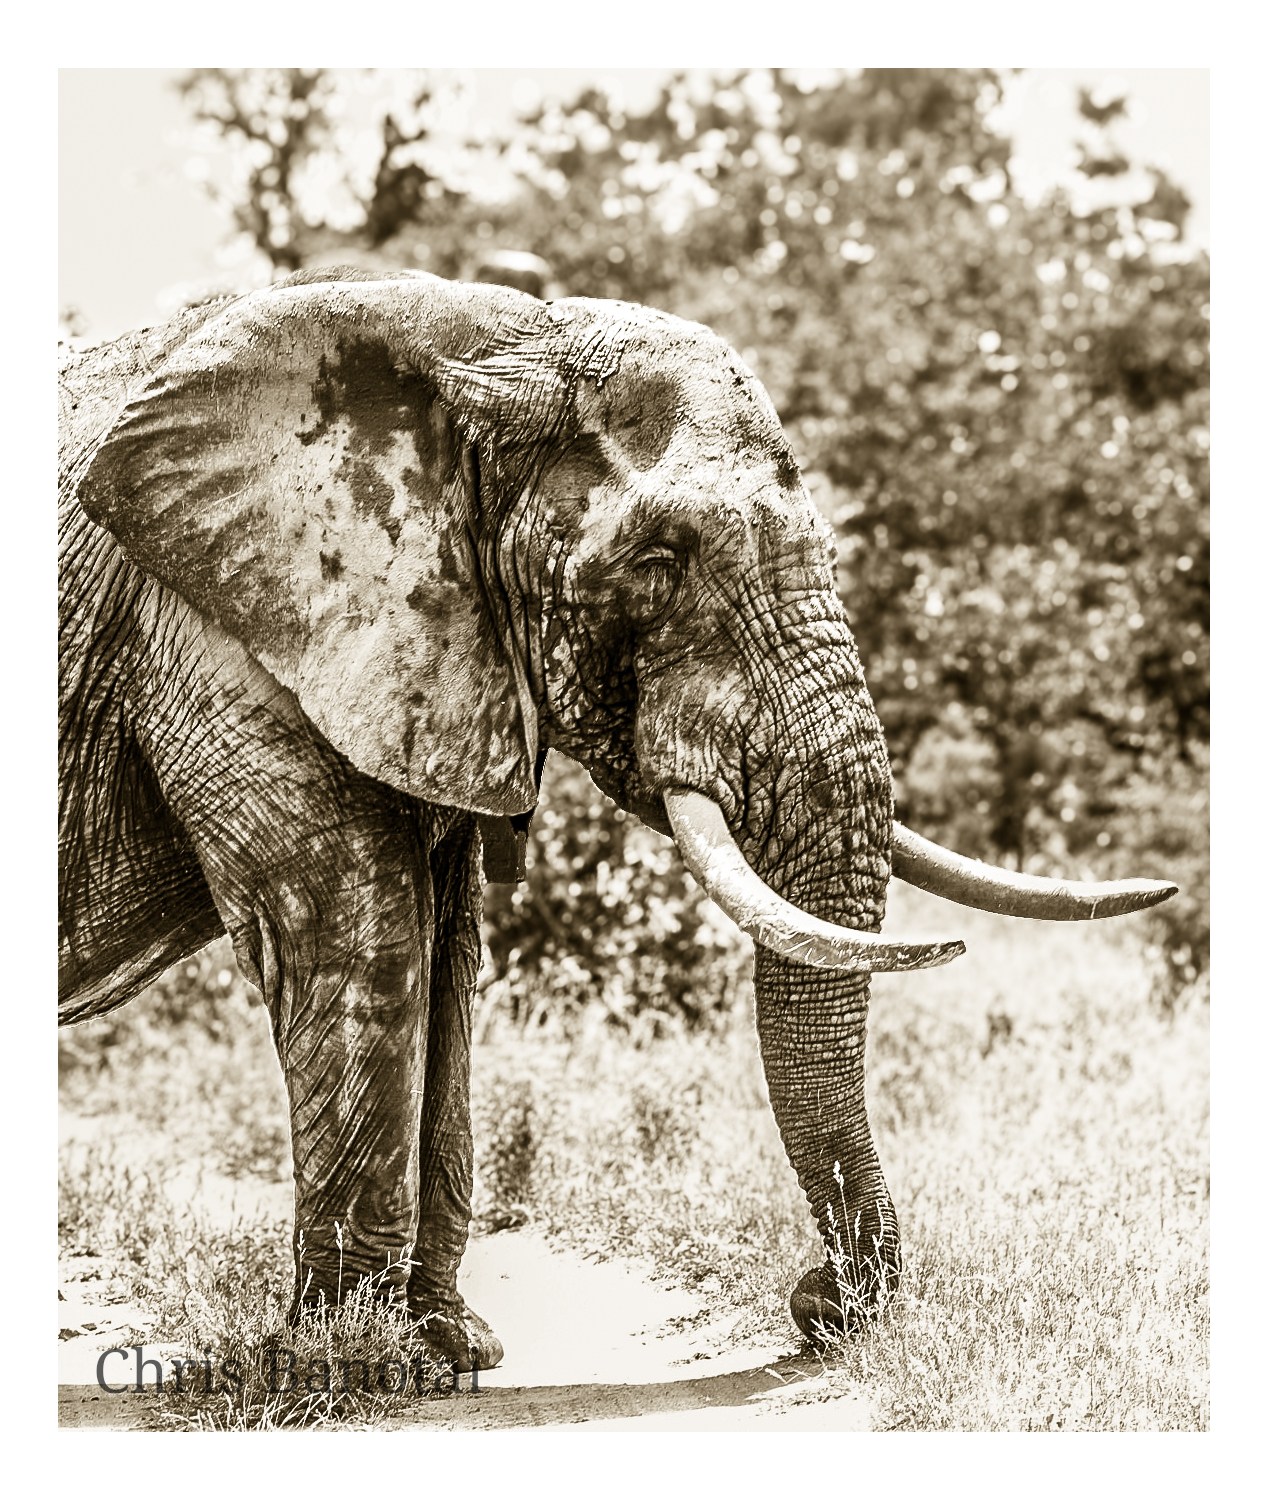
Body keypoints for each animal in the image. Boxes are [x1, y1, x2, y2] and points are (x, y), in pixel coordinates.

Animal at [58, 265, 1175, 1369]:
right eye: (659, 561)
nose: (819, 1306)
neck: (485, 341)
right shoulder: (211, 628)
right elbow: (359, 930)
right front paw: (357, 1367)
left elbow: (447, 954)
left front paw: (451, 1351)